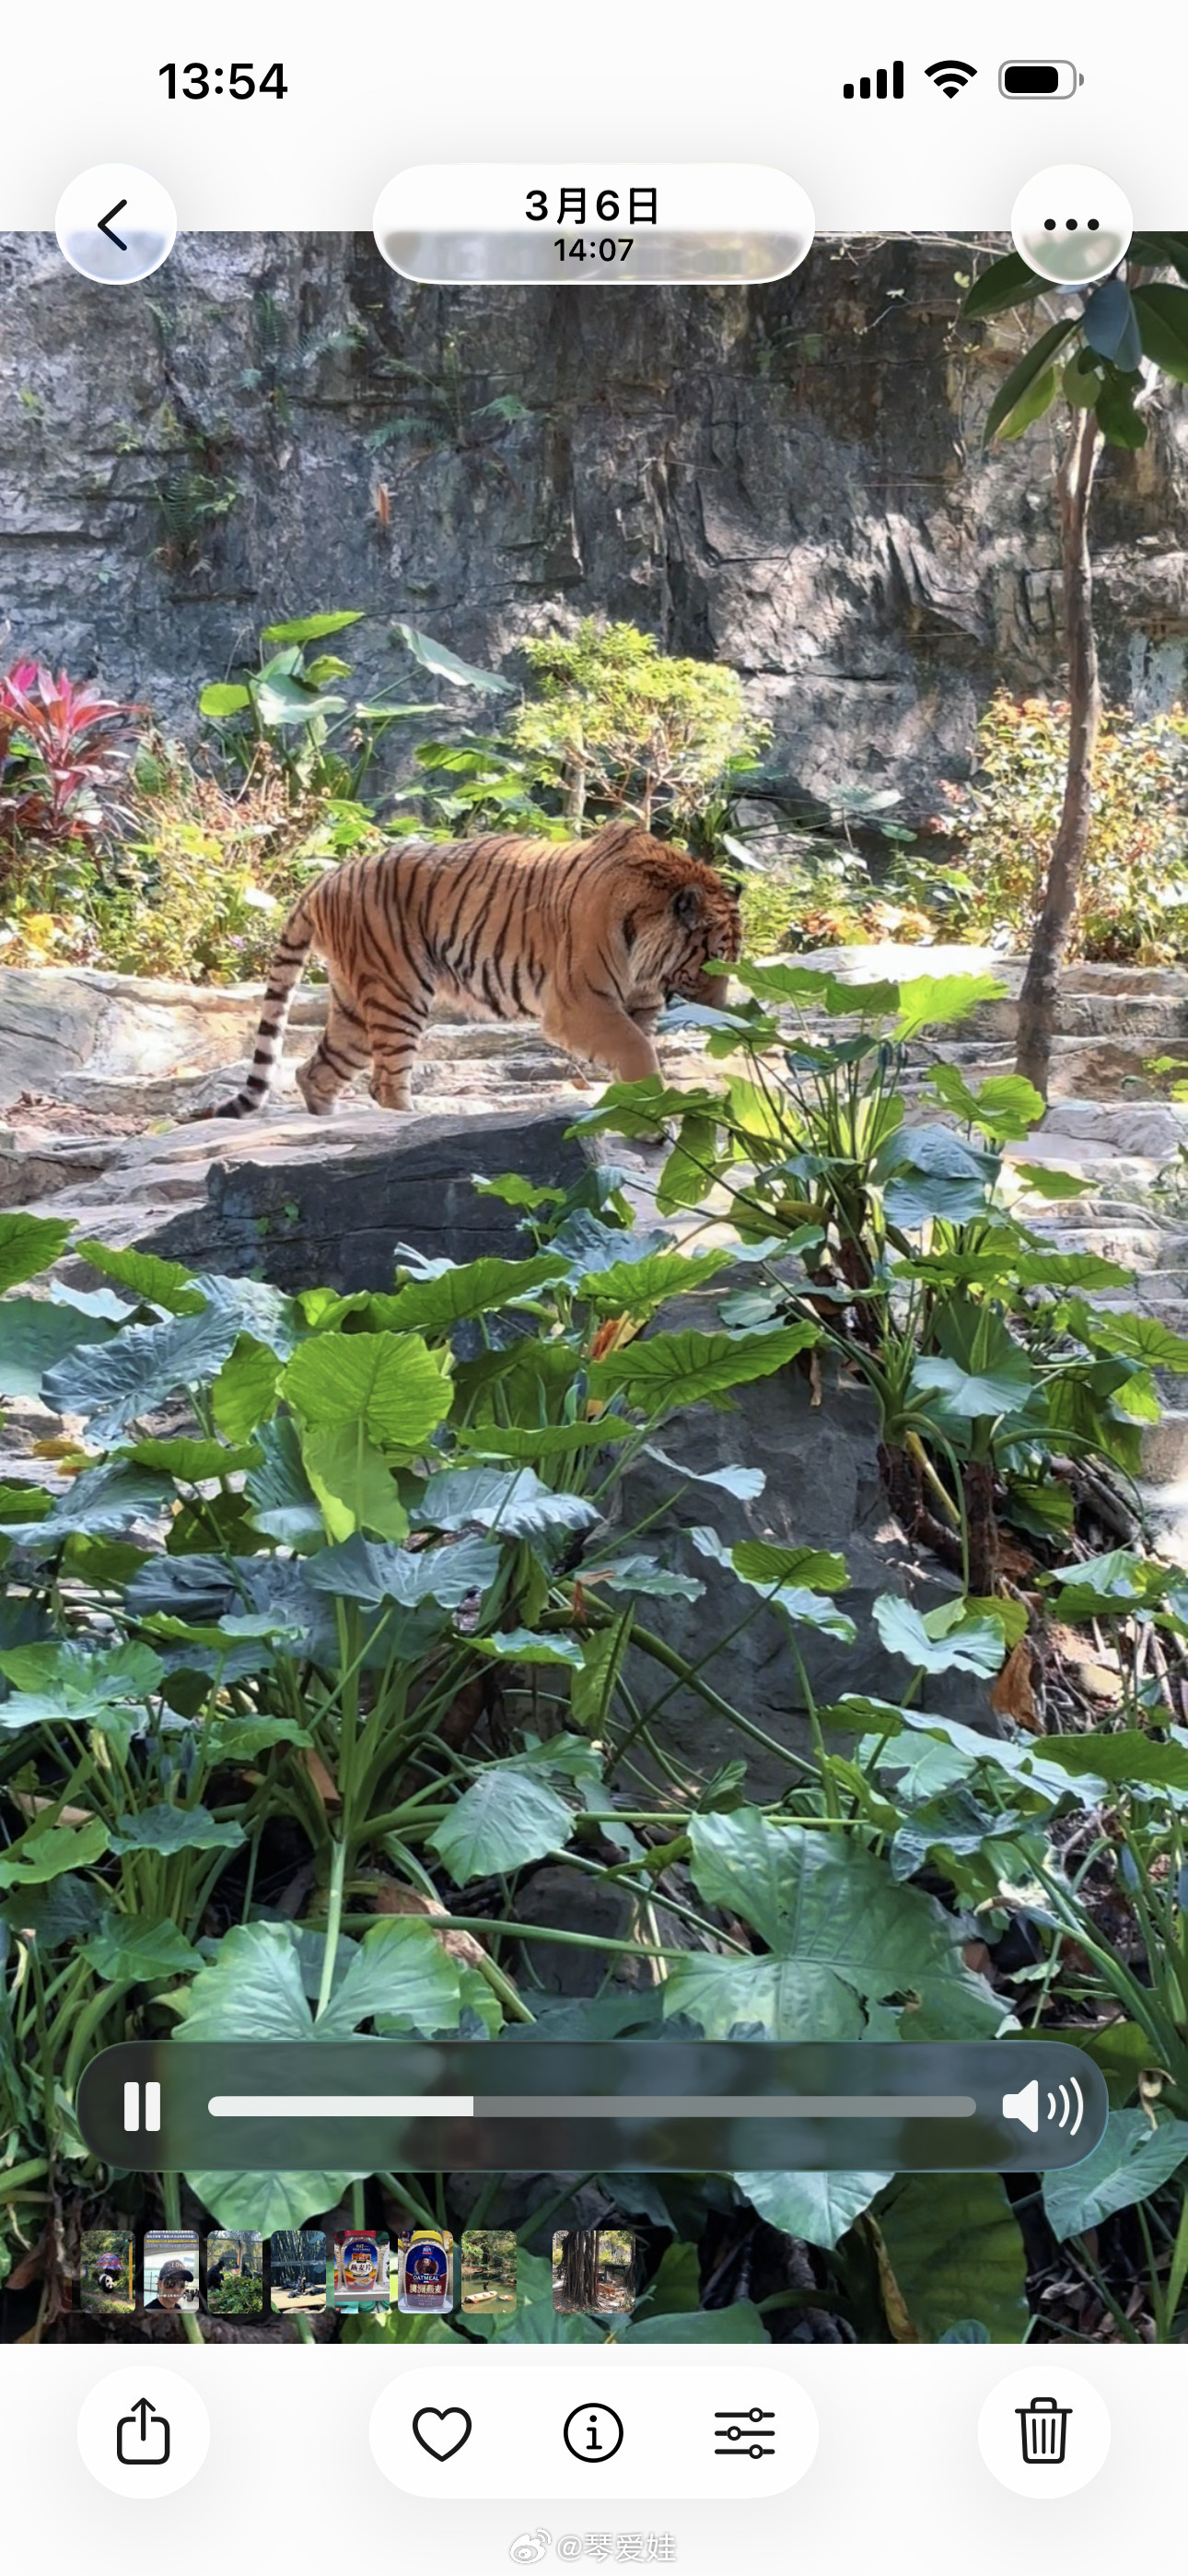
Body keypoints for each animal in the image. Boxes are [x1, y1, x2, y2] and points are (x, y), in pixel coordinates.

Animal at [203, 820, 741, 1119]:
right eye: (711, 962)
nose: (723, 1014)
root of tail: (327, 876)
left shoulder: (638, 1006)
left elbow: (638, 1052)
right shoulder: (579, 1003)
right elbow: (637, 1051)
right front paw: (655, 1119)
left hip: (354, 1003)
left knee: (316, 1070)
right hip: (398, 991)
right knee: (385, 1080)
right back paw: (405, 1124)